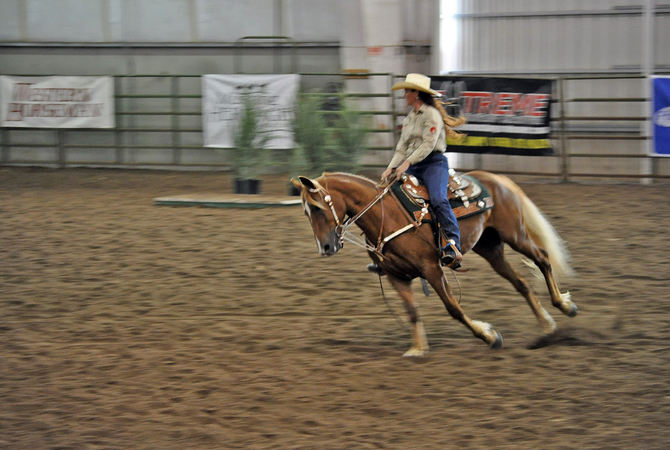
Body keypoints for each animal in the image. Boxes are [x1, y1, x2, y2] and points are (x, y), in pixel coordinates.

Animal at [292, 171, 580, 356]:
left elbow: (454, 309)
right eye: (305, 211)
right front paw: (418, 348)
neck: (386, 216)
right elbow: (412, 311)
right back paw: (546, 327)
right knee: (520, 281)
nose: (325, 248)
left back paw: (565, 306)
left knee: (542, 258)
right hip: (490, 248)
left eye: (317, 207)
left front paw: (490, 336)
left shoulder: (431, 269)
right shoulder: (396, 276)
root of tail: (498, 179)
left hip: (515, 234)